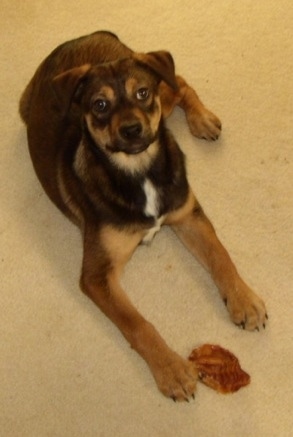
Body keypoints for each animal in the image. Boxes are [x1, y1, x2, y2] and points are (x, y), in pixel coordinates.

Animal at [18, 29, 266, 398]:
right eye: (100, 104)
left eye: (142, 93)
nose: (132, 129)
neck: (139, 171)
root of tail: (86, 35)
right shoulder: (97, 275)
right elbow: (137, 324)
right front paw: (171, 370)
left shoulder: (187, 214)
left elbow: (221, 256)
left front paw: (244, 301)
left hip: (162, 83)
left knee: (179, 82)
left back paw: (203, 120)